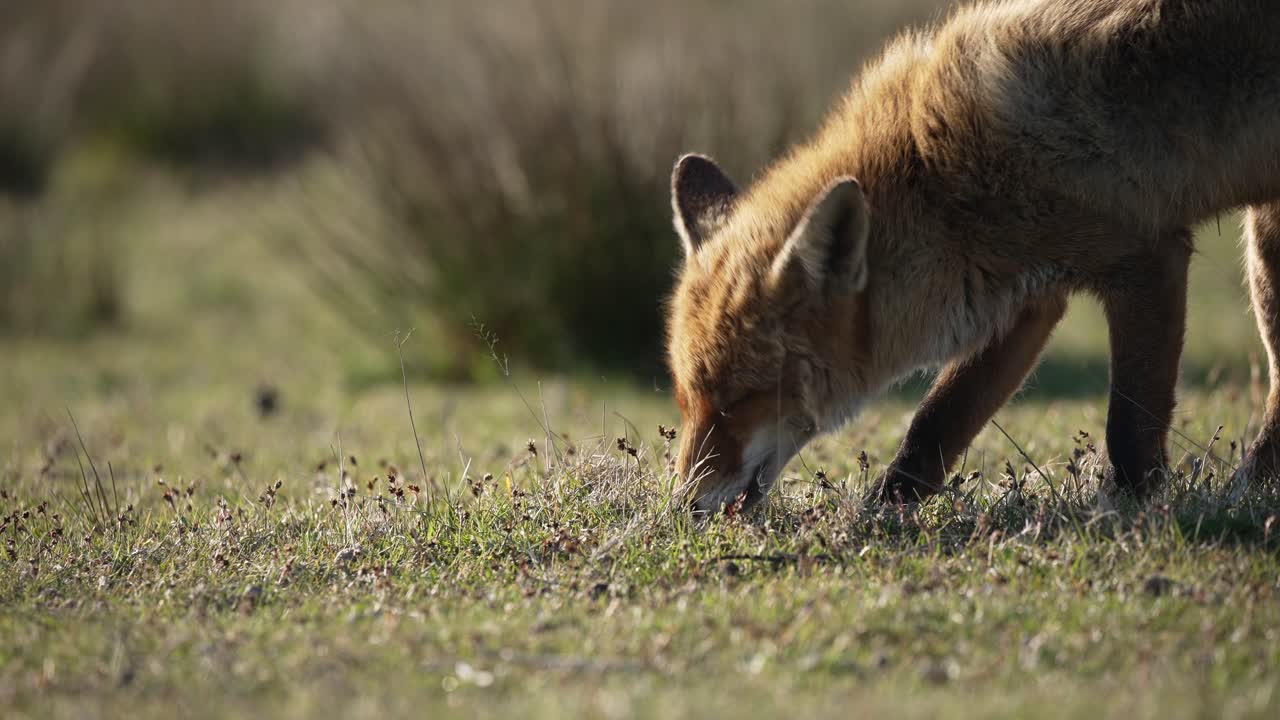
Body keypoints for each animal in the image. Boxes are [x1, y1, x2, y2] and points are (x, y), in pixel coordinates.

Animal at [665, 0, 1280, 514]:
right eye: (688, 400)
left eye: (739, 401)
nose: (683, 507)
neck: (938, 168)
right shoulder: (1021, 300)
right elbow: (936, 422)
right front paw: (883, 513)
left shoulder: (1147, 260)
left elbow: (1130, 422)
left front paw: (1133, 510)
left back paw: (1245, 492)